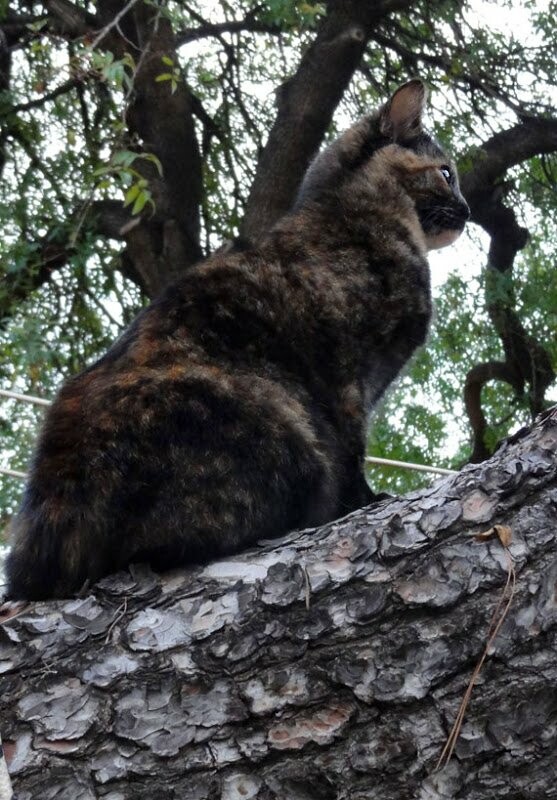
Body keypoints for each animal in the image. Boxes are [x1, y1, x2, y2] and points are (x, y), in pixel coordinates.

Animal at [5, 79, 470, 600]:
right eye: (446, 173)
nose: (469, 211)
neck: (362, 211)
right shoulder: (347, 372)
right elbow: (352, 446)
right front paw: (364, 501)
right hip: (278, 419)